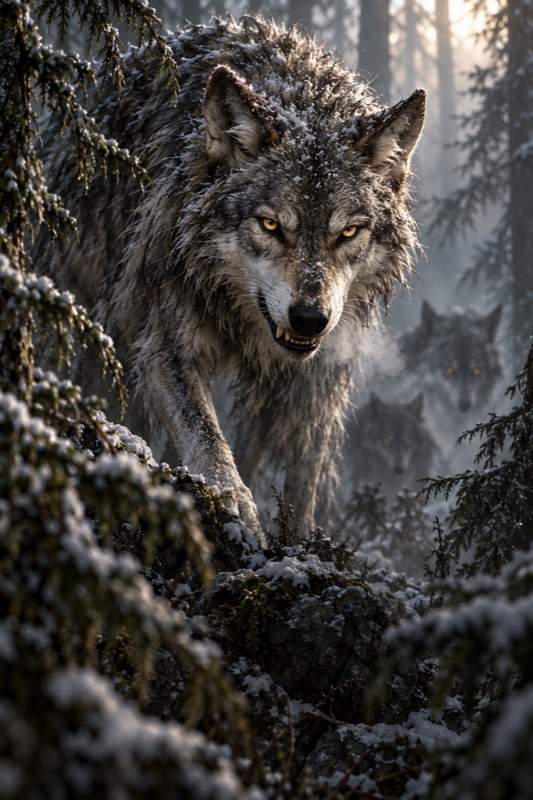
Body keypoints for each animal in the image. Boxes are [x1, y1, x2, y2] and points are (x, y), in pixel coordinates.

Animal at [35, 16, 425, 545]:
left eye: (348, 232)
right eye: (270, 225)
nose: (309, 319)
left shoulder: (320, 377)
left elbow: (302, 479)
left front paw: (298, 540)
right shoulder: (166, 342)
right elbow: (205, 432)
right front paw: (231, 502)